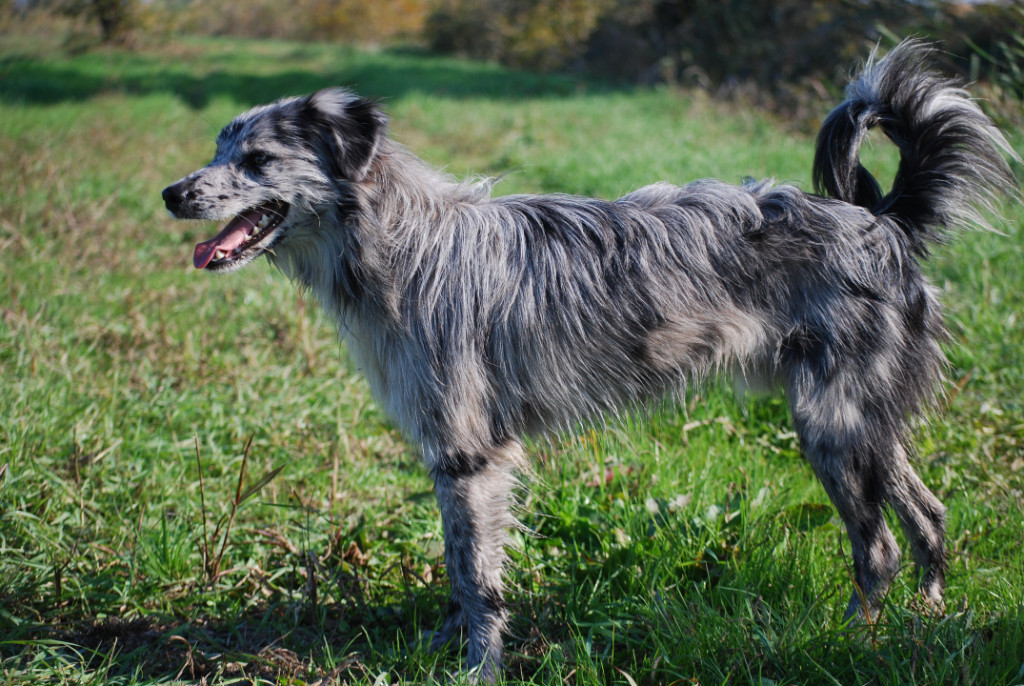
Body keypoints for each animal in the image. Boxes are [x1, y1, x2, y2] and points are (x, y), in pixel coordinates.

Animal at [163, 43, 1019, 683]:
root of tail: (882, 222)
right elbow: (456, 568)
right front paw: (439, 649)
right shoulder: (451, 459)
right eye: (217, 148)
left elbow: (476, 578)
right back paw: (927, 618)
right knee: (929, 514)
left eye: (259, 158)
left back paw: (850, 639)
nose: (172, 193)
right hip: (863, 423)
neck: (402, 243)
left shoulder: (472, 455)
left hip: (833, 426)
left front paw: (478, 669)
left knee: (876, 547)